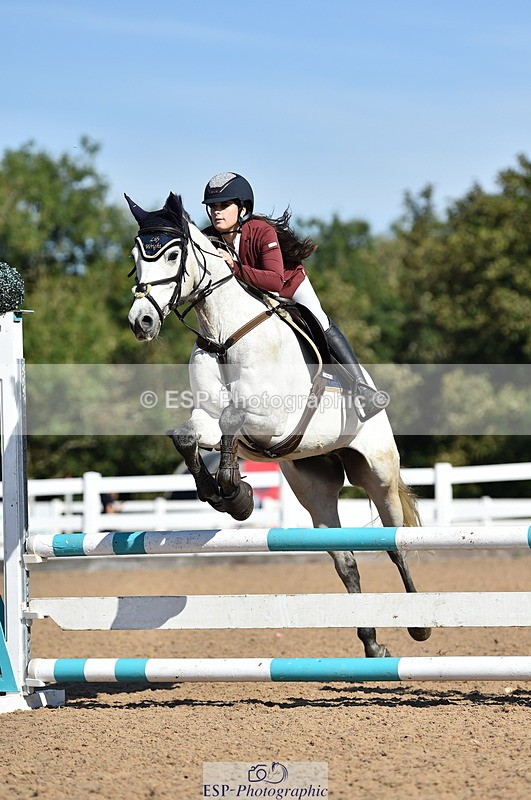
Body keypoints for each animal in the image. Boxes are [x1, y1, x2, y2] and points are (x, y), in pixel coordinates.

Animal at [125, 191, 431, 657]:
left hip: (377, 471)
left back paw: (419, 625)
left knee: (395, 545)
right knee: (346, 561)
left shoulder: (274, 417)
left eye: (173, 254)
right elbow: (186, 435)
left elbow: (233, 417)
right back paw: (371, 643)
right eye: (135, 258)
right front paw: (229, 496)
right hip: (313, 485)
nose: (140, 321)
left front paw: (234, 491)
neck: (225, 333)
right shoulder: (206, 416)